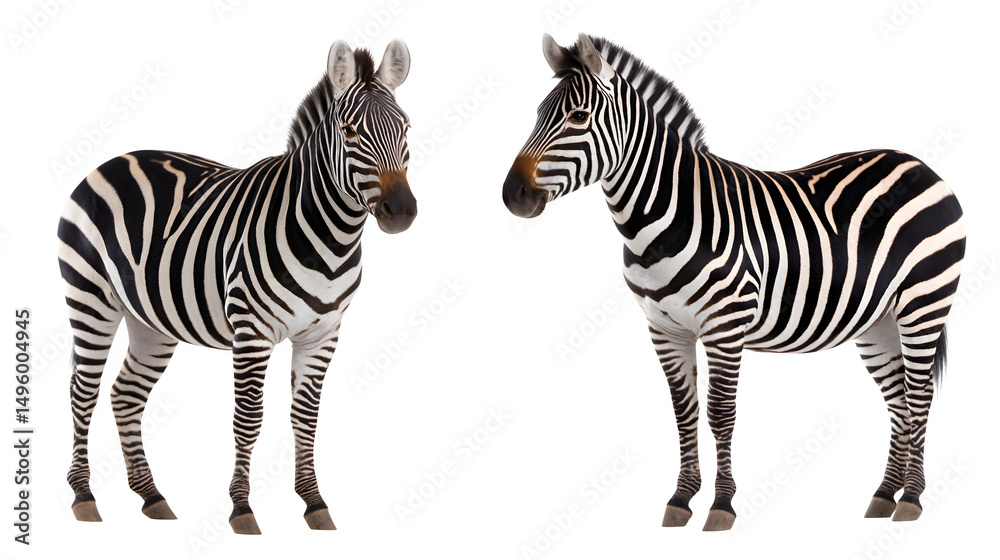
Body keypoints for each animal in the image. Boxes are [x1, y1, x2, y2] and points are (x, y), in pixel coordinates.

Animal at [58, 39, 416, 534]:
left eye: (406, 128)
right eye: (349, 132)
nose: (402, 211)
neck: (329, 238)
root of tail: (113, 160)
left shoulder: (323, 335)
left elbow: (305, 417)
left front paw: (315, 505)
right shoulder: (252, 331)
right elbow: (248, 417)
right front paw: (242, 509)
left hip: (150, 320)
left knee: (125, 394)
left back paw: (152, 497)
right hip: (90, 300)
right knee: (83, 391)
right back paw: (83, 497)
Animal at [502, 34, 965, 531]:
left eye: (578, 117)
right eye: (537, 113)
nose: (512, 196)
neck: (664, 218)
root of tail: (919, 164)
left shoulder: (725, 325)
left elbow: (720, 413)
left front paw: (721, 506)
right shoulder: (664, 329)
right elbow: (684, 412)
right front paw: (681, 500)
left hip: (923, 303)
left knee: (919, 395)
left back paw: (911, 499)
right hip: (878, 320)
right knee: (898, 401)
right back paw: (884, 496)